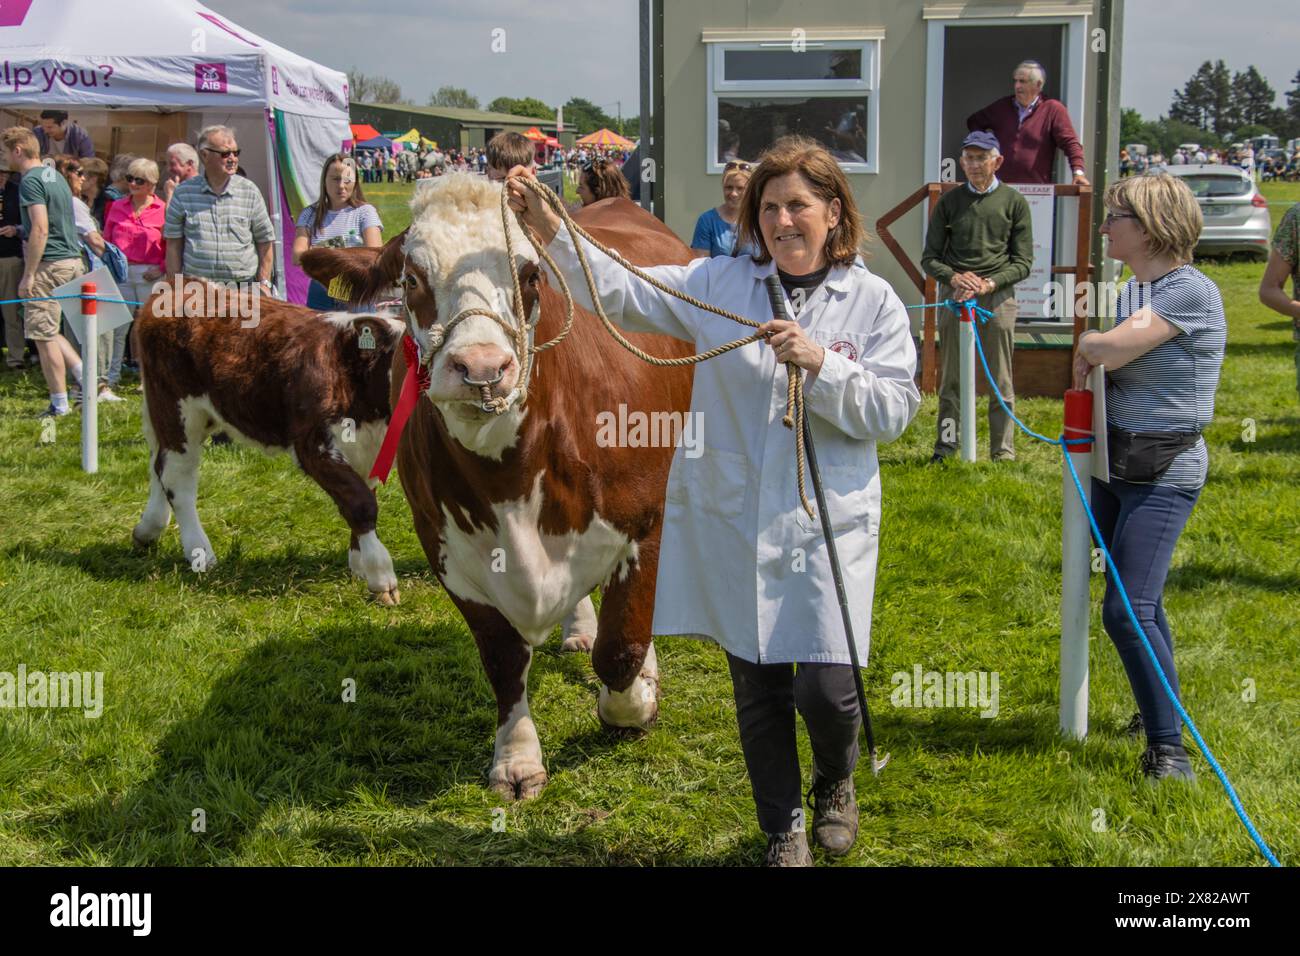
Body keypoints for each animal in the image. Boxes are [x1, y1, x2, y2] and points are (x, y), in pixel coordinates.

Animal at [131, 278, 403, 606]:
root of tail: (182, 286)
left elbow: (364, 493)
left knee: (157, 463)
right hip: (178, 409)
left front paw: (359, 564)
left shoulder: (370, 449)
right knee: (176, 477)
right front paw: (381, 576)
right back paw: (200, 552)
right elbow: (360, 502)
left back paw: (148, 529)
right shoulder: (314, 446)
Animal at [301, 178, 702, 801]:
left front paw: (634, 705)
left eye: (531, 275)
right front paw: (516, 759)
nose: (483, 368)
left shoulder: (646, 519)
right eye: (410, 280)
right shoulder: (447, 551)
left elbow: (622, 646)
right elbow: (503, 657)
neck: (511, 475)